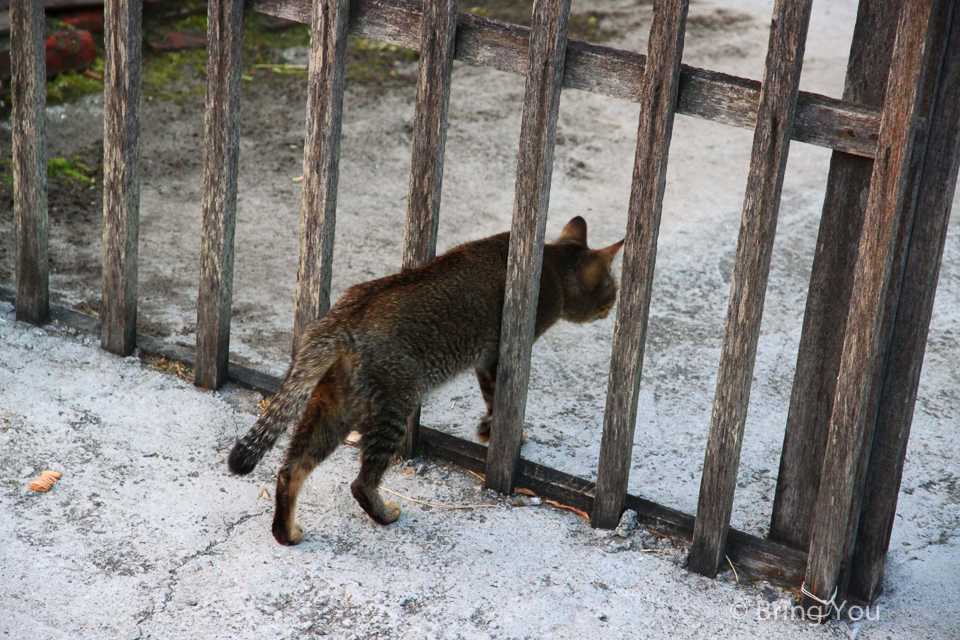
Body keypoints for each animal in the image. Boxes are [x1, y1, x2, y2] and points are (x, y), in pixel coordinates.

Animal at [230, 216, 628, 544]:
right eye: (613, 287)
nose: (612, 307)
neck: (552, 265)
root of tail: (339, 322)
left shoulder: (485, 360)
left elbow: (490, 397)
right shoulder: (499, 354)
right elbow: (498, 401)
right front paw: (502, 432)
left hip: (330, 411)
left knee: (290, 470)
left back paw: (286, 532)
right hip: (394, 406)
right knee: (361, 482)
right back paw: (384, 514)